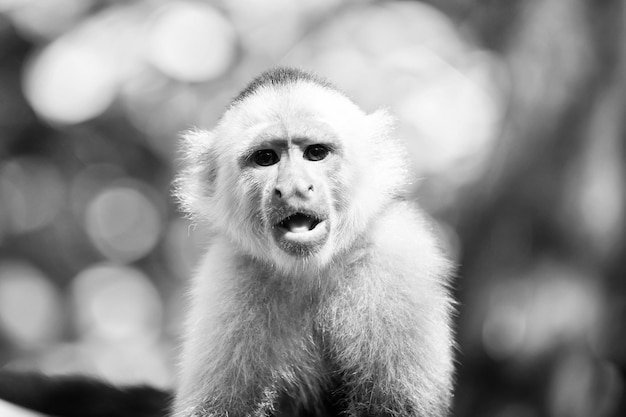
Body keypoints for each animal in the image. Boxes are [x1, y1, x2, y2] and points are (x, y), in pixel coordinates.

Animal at [0, 66, 454, 414]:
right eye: (266, 158)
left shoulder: (398, 256)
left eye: (316, 153)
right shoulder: (228, 276)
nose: (293, 188)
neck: (310, 270)